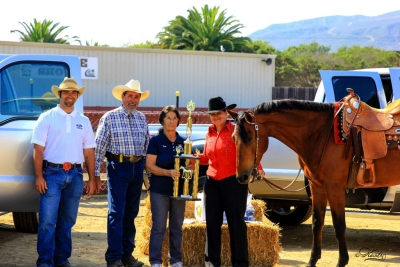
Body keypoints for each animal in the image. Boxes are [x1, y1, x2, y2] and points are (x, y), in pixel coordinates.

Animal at [228, 100, 400, 267]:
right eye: (233, 138)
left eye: (250, 138)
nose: (242, 176)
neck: (321, 134)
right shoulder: (316, 186)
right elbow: (317, 223)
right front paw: (312, 260)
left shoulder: (334, 187)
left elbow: (339, 225)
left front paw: (342, 261)